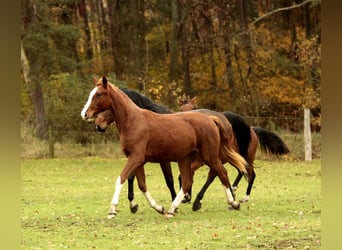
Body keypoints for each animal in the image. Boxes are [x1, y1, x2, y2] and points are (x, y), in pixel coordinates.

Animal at [80, 77, 247, 218]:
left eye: (98, 94)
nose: (85, 115)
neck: (134, 121)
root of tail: (212, 119)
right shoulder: (138, 160)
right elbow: (141, 184)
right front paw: (158, 208)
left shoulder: (137, 158)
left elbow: (122, 178)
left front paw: (112, 210)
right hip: (186, 159)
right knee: (187, 181)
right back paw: (172, 209)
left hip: (210, 156)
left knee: (222, 173)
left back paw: (233, 203)